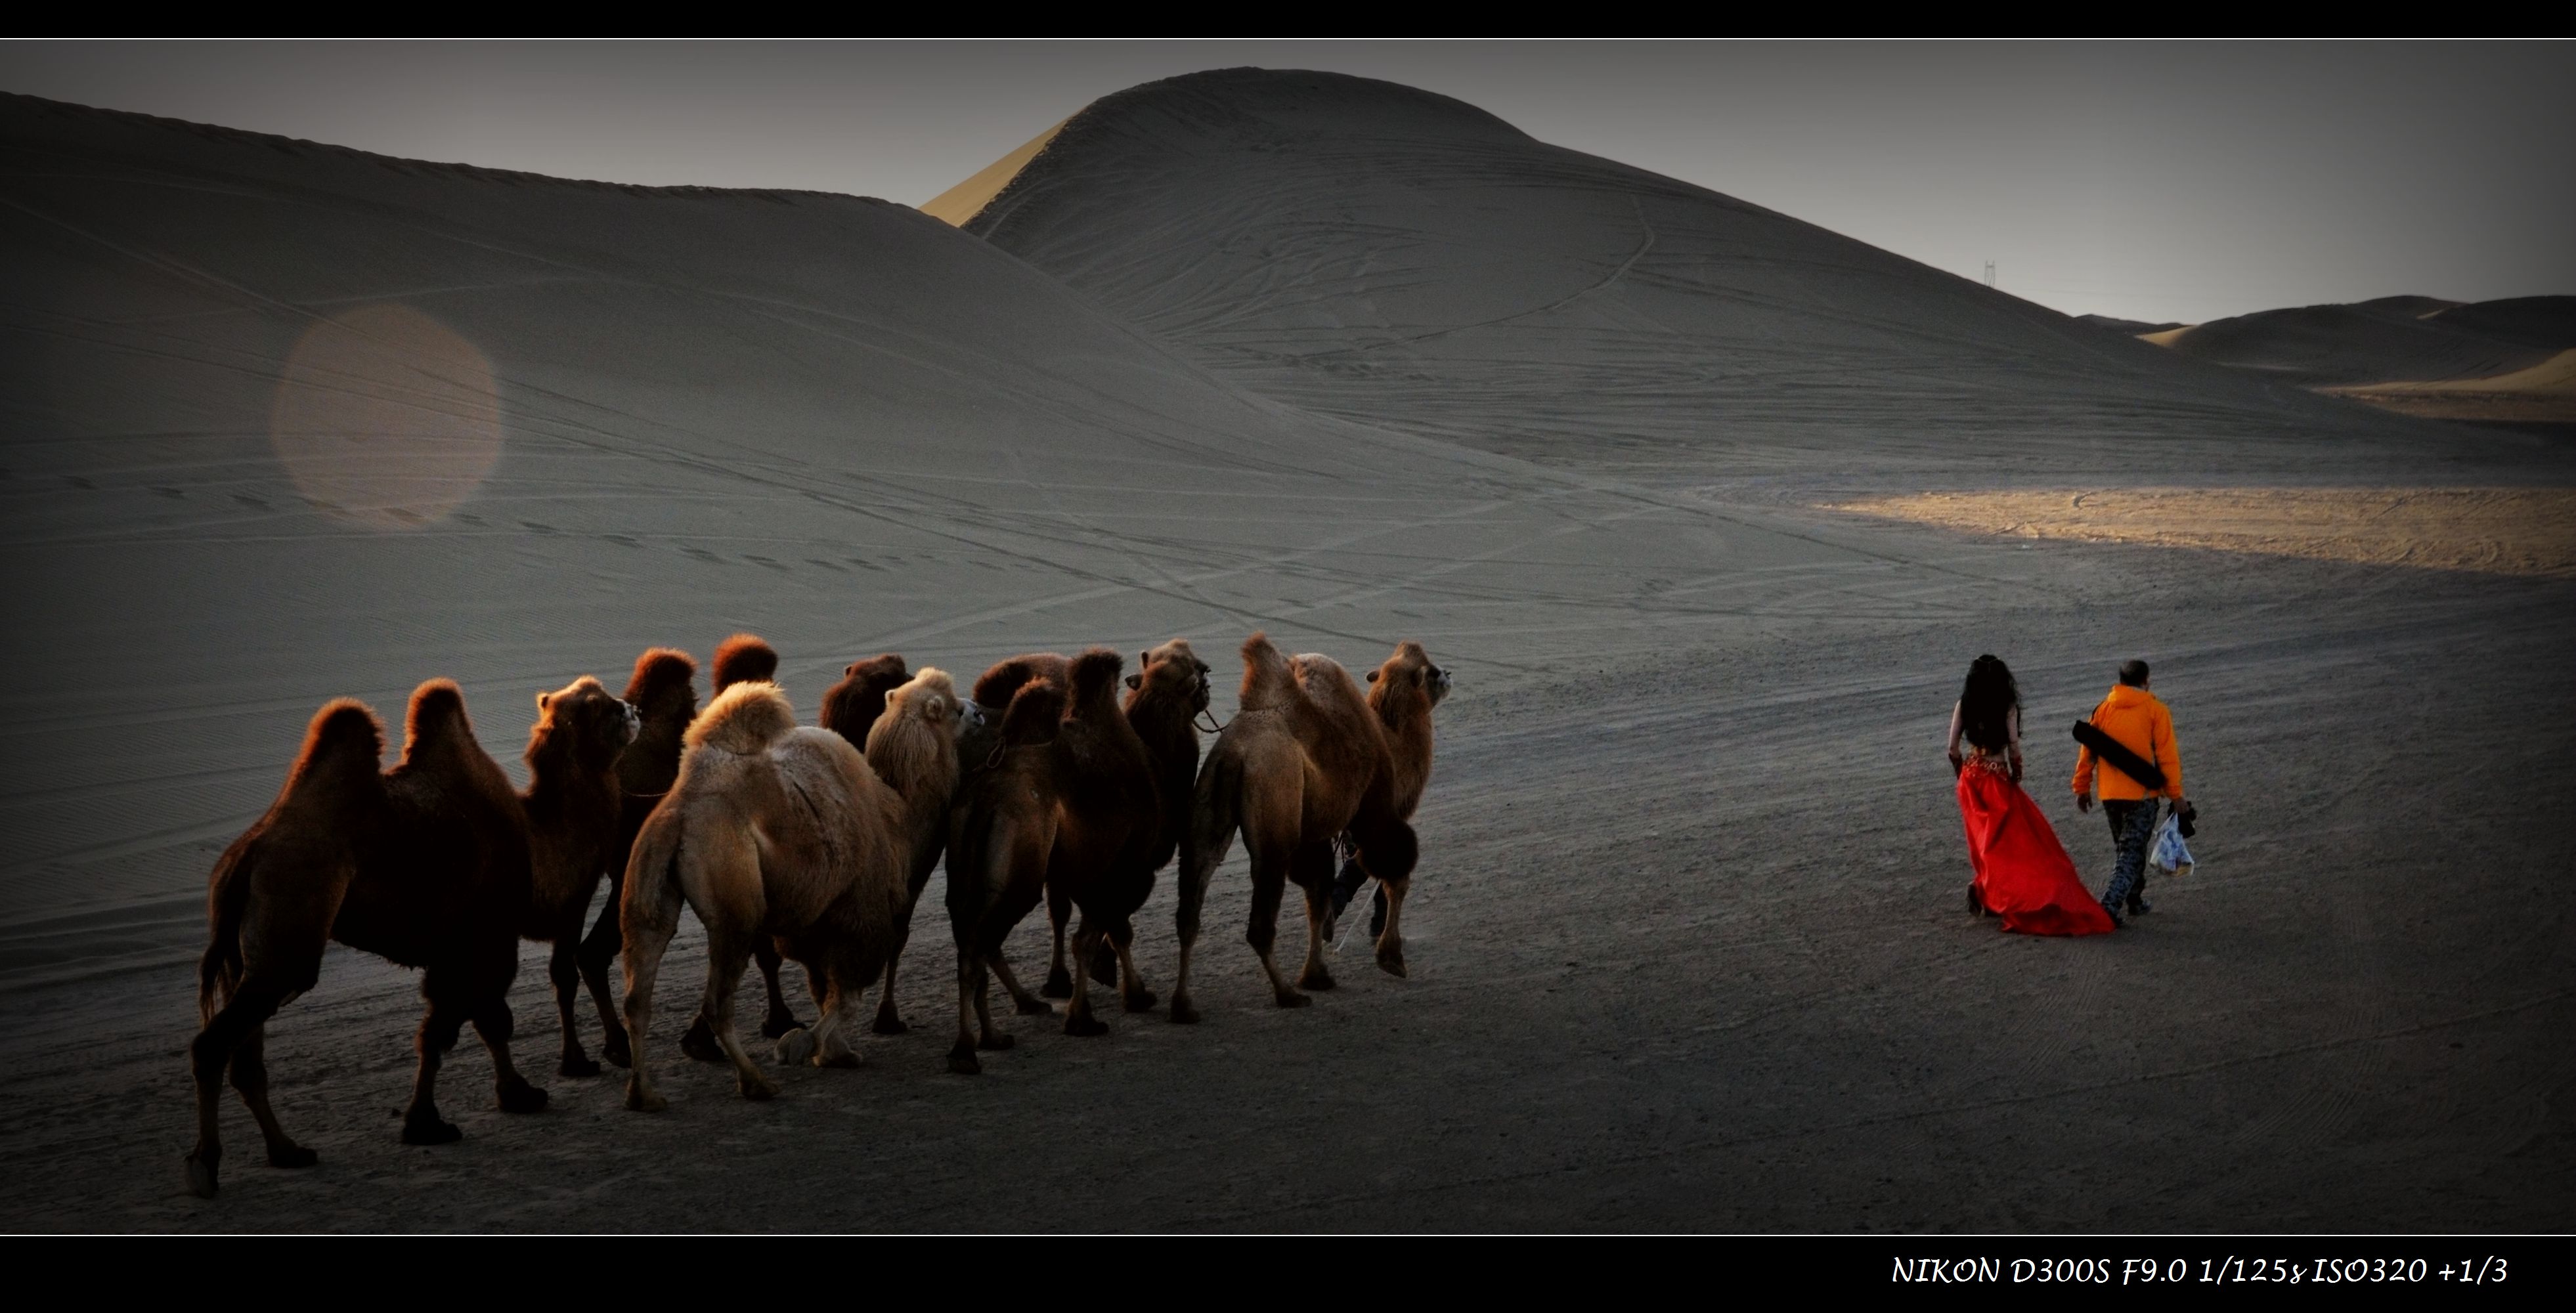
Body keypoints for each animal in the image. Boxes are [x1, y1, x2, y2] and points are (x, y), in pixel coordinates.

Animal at [185, 679, 613, 1194]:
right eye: (606, 708)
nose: (632, 710)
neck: (535, 842)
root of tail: (243, 858)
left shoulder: (458, 948)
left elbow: (462, 1024)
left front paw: (480, 1104)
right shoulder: (487, 937)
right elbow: (475, 1021)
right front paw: (460, 1113)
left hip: (246, 954)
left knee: (245, 1056)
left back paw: (287, 1152)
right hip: (290, 915)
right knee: (215, 1044)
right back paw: (205, 1167)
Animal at [621, 664, 973, 1107]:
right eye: (957, 710)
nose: (980, 712)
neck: (898, 815)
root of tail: (682, 813)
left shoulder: (815, 921)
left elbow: (823, 989)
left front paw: (834, 1053)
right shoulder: (857, 913)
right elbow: (847, 995)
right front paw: (806, 1045)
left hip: (647, 884)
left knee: (638, 995)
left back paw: (644, 1095)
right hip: (736, 904)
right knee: (718, 1000)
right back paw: (756, 1082)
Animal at [1174, 635, 1422, 1024]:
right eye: (1429, 672)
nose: (1446, 674)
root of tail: (1235, 752)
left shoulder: (1314, 832)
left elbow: (1318, 896)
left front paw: (1317, 975)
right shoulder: (1374, 800)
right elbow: (1394, 872)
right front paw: (1391, 959)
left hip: (1207, 800)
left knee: (1191, 906)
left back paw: (1183, 1005)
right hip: (1275, 814)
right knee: (1260, 924)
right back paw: (1287, 994)